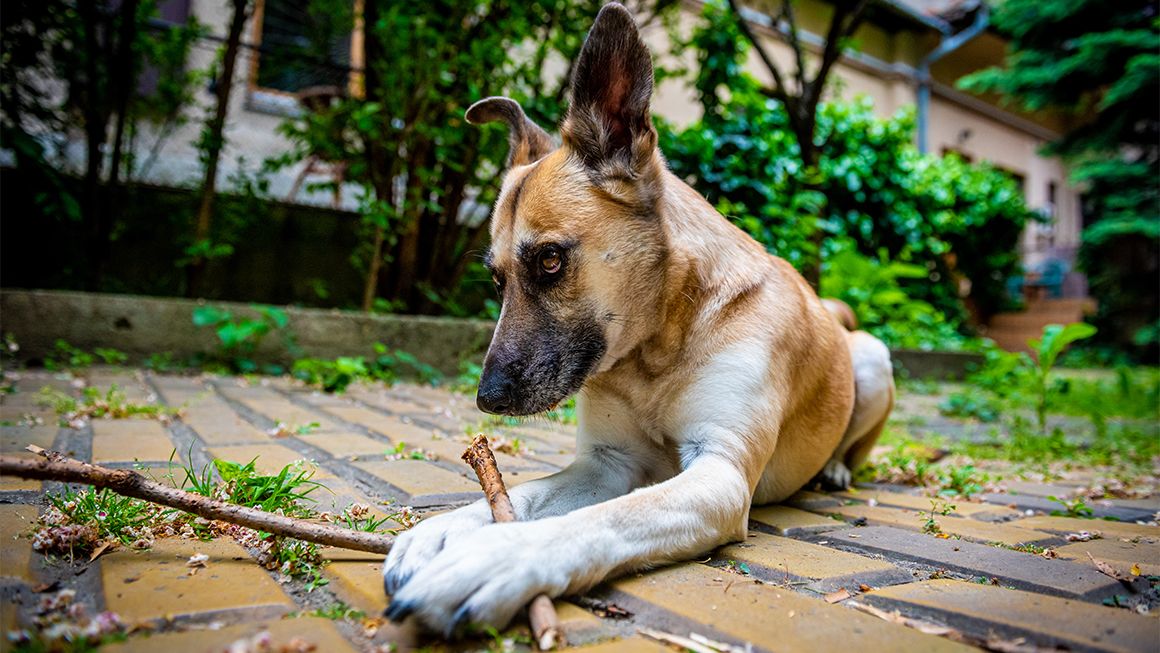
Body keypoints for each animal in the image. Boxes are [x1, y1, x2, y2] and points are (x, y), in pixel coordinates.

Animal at [385, 2, 890, 635]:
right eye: (498, 281)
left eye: (549, 261)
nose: (487, 399)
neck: (657, 347)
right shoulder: (606, 465)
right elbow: (525, 495)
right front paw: (443, 530)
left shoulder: (719, 474)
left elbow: (606, 518)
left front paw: (497, 557)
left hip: (873, 358)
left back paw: (838, 470)